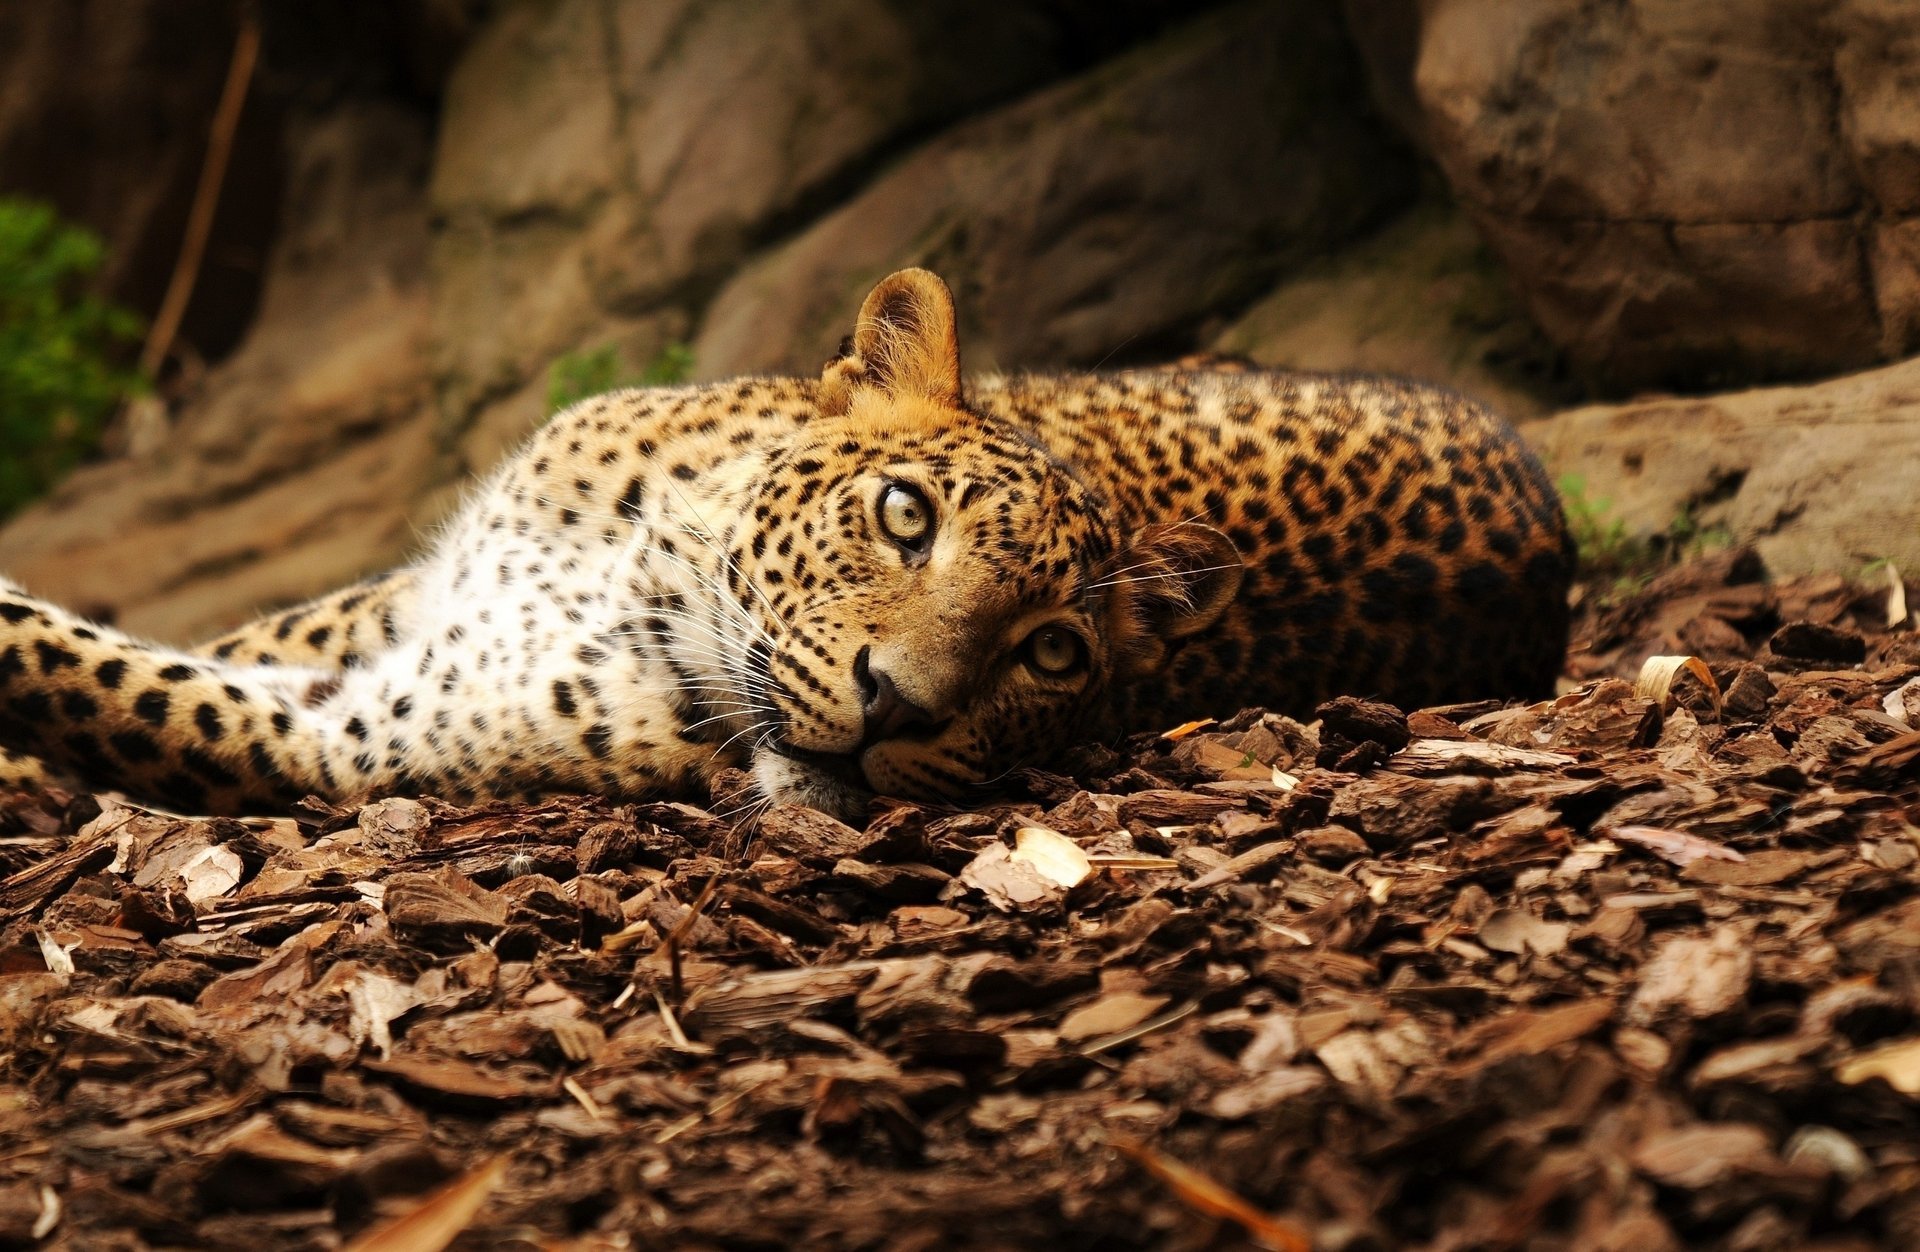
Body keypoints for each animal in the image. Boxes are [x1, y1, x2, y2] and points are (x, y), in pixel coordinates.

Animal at [0, 268, 1572, 821]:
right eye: (905, 516)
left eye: (1053, 654)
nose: (901, 712)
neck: (640, 572)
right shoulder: (406, 602)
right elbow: (225, 633)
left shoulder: (347, 738)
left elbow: (88, 674)